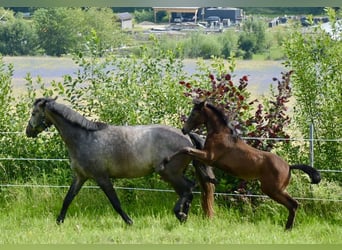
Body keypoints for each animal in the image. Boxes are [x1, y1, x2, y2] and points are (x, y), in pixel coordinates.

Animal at [25, 97, 215, 225]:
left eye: (34, 113)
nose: (28, 131)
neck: (84, 138)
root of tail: (187, 137)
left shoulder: (102, 177)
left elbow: (115, 202)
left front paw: (129, 221)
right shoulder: (80, 177)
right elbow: (68, 198)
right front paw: (59, 221)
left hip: (169, 173)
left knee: (188, 190)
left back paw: (180, 215)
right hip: (173, 174)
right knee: (188, 189)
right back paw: (183, 217)